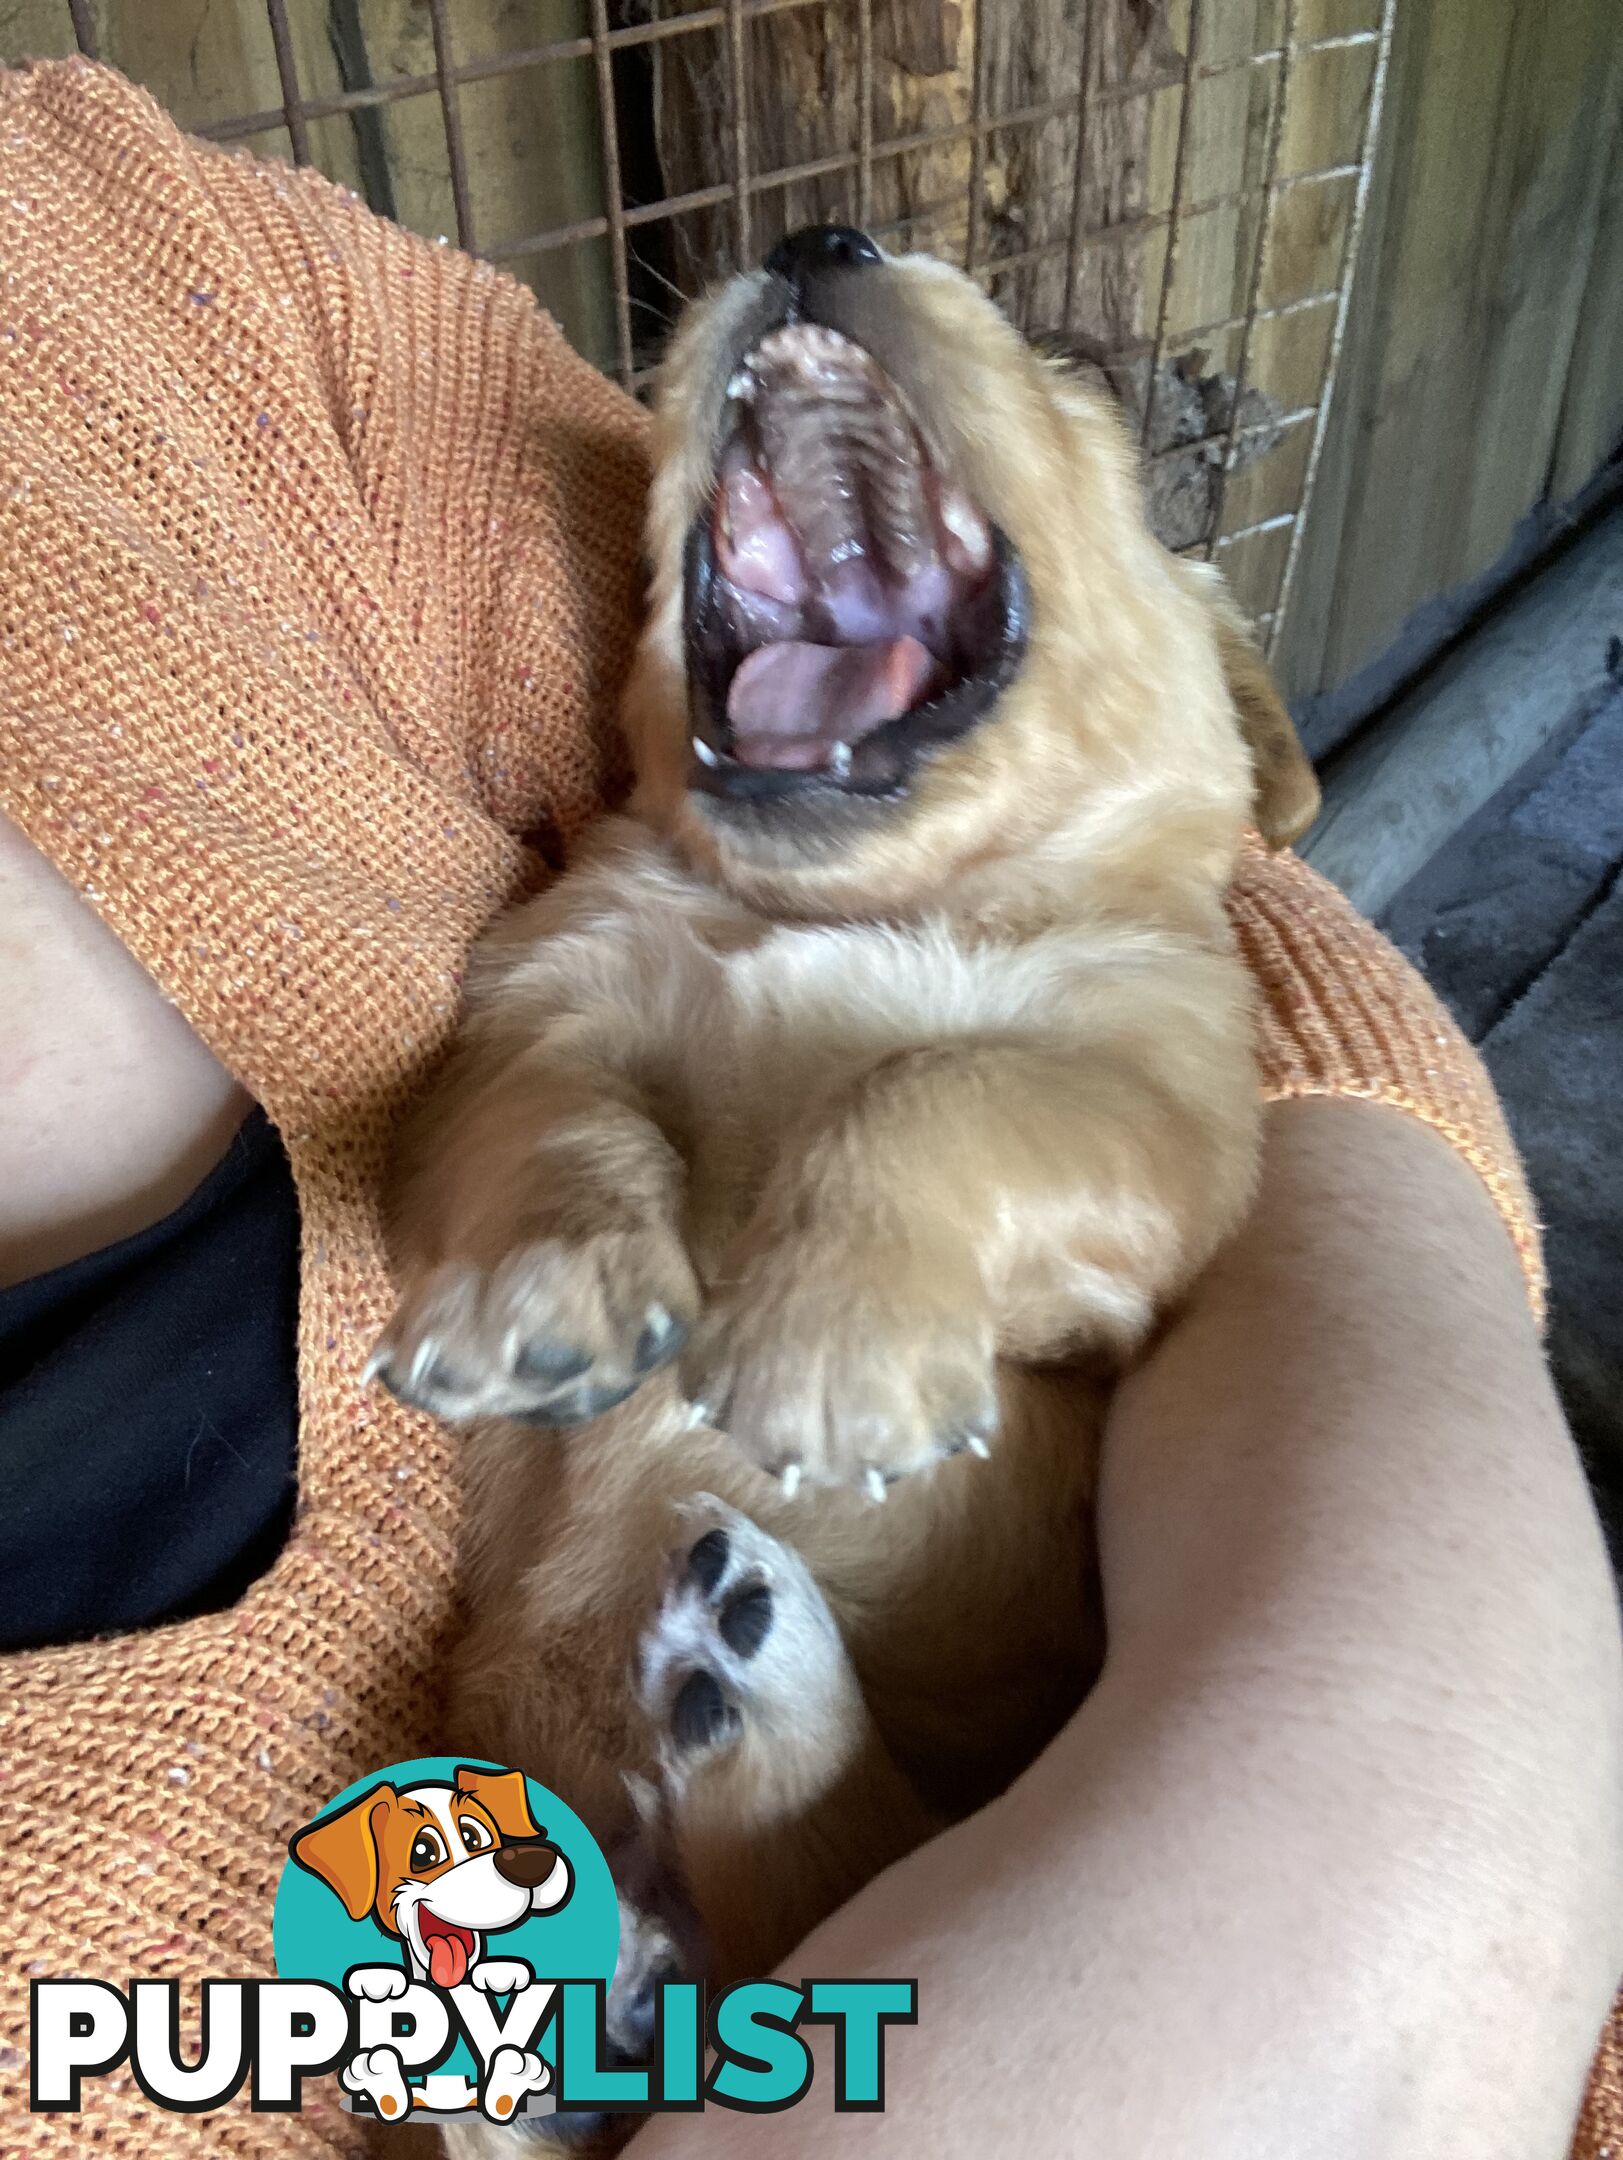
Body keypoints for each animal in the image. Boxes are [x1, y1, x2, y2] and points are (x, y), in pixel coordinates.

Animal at [371, 223, 1322, 2125]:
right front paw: (539, 1297)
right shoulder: (528, 1016)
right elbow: (565, 1128)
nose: (814, 238)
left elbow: (941, 1085)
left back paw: (742, 1676)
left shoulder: (1167, 1110)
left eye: (1073, 378)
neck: (836, 903)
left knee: (816, 1866)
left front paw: (825, 1344)